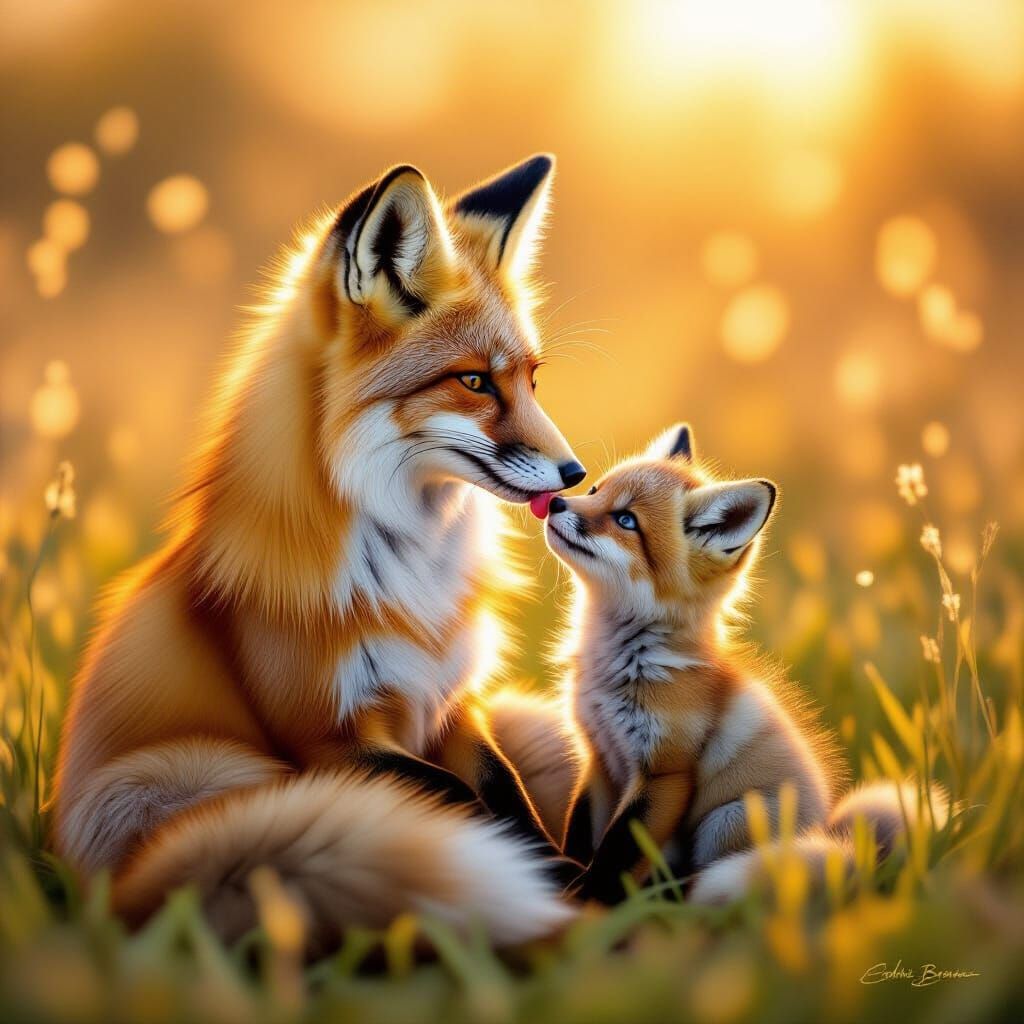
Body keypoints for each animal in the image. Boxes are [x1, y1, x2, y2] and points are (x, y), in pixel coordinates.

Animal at [53, 155, 590, 952]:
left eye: (531, 379)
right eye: (473, 380)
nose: (576, 475)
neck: (412, 576)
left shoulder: (454, 704)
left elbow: (504, 792)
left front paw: (574, 872)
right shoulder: (323, 735)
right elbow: (453, 799)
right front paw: (562, 890)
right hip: (202, 771)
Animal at [542, 423, 945, 904]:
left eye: (626, 521)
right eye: (596, 490)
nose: (556, 502)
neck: (620, 665)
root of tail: (842, 845)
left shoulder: (665, 772)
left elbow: (617, 854)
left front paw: (587, 900)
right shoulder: (600, 757)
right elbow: (581, 832)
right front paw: (565, 872)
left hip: (729, 818)